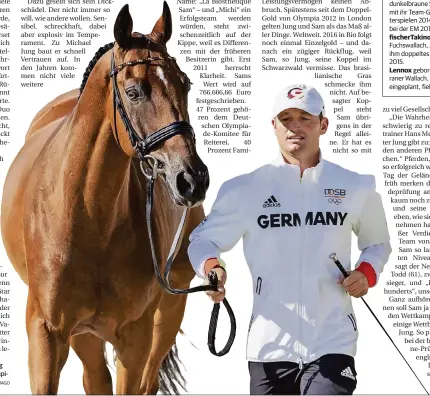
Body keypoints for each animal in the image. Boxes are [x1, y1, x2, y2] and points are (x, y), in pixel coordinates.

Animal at [0, 2, 208, 392]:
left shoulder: (135, 337)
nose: (192, 180)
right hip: (84, 334)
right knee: (95, 378)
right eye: (134, 92)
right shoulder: (46, 333)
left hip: (169, 308)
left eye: (185, 83)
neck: (89, 216)